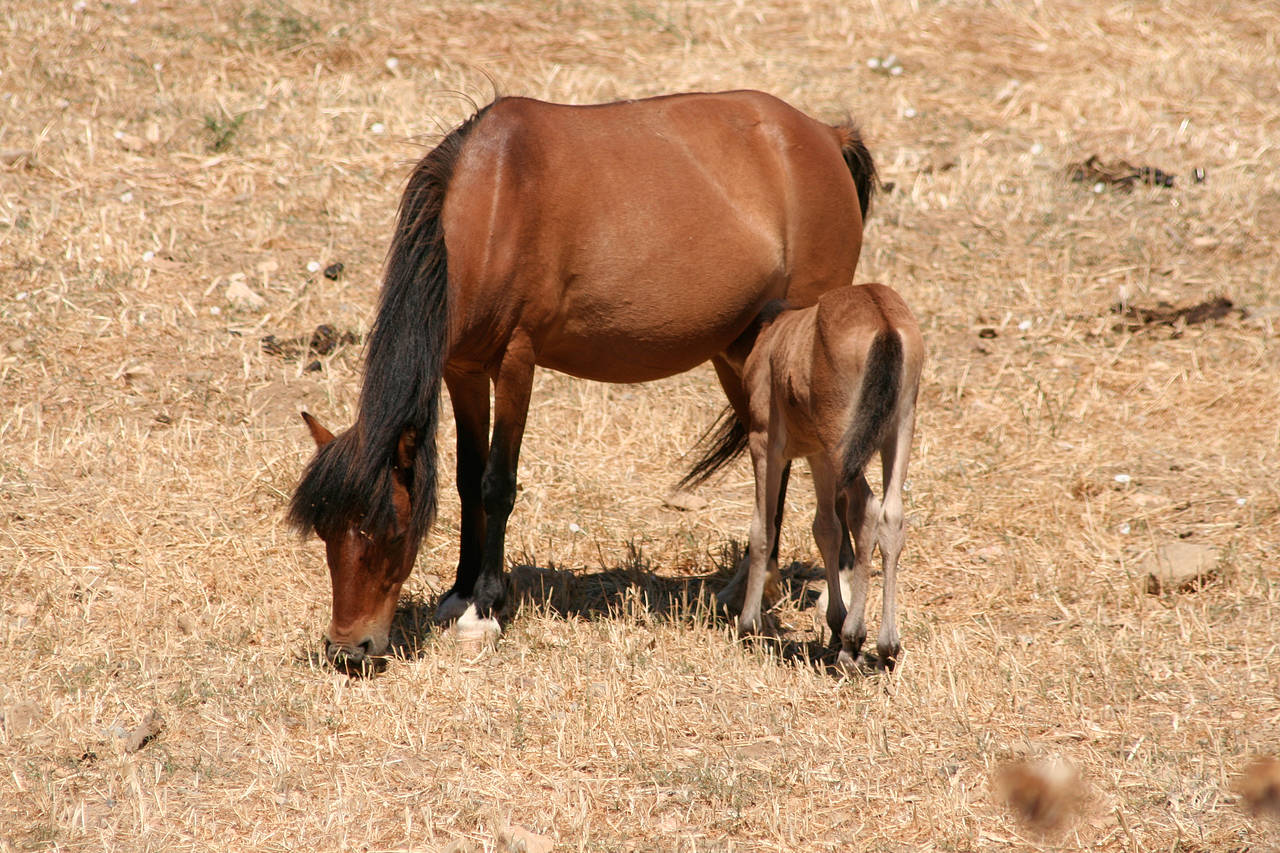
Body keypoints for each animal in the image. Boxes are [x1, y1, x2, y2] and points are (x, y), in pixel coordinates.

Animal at [286, 89, 875, 666]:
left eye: (391, 532)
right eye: (325, 532)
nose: (349, 649)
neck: (493, 207)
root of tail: (826, 136)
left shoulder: (516, 361)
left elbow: (497, 484)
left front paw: (484, 611)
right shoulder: (464, 370)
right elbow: (467, 481)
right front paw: (458, 595)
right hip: (739, 350)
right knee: (771, 454)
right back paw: (751, 587)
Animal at [721, 284, 921, 671]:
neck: (773, 334)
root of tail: (883, 321)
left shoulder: (765, 443)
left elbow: (763, 527)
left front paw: (749, 625)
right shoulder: (819, 456)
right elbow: (826, 528)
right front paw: (834, 624)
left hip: (843, 439)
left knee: (866, 510)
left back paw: (853, 642)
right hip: (898, 427)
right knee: (891, 515)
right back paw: (886, 646)